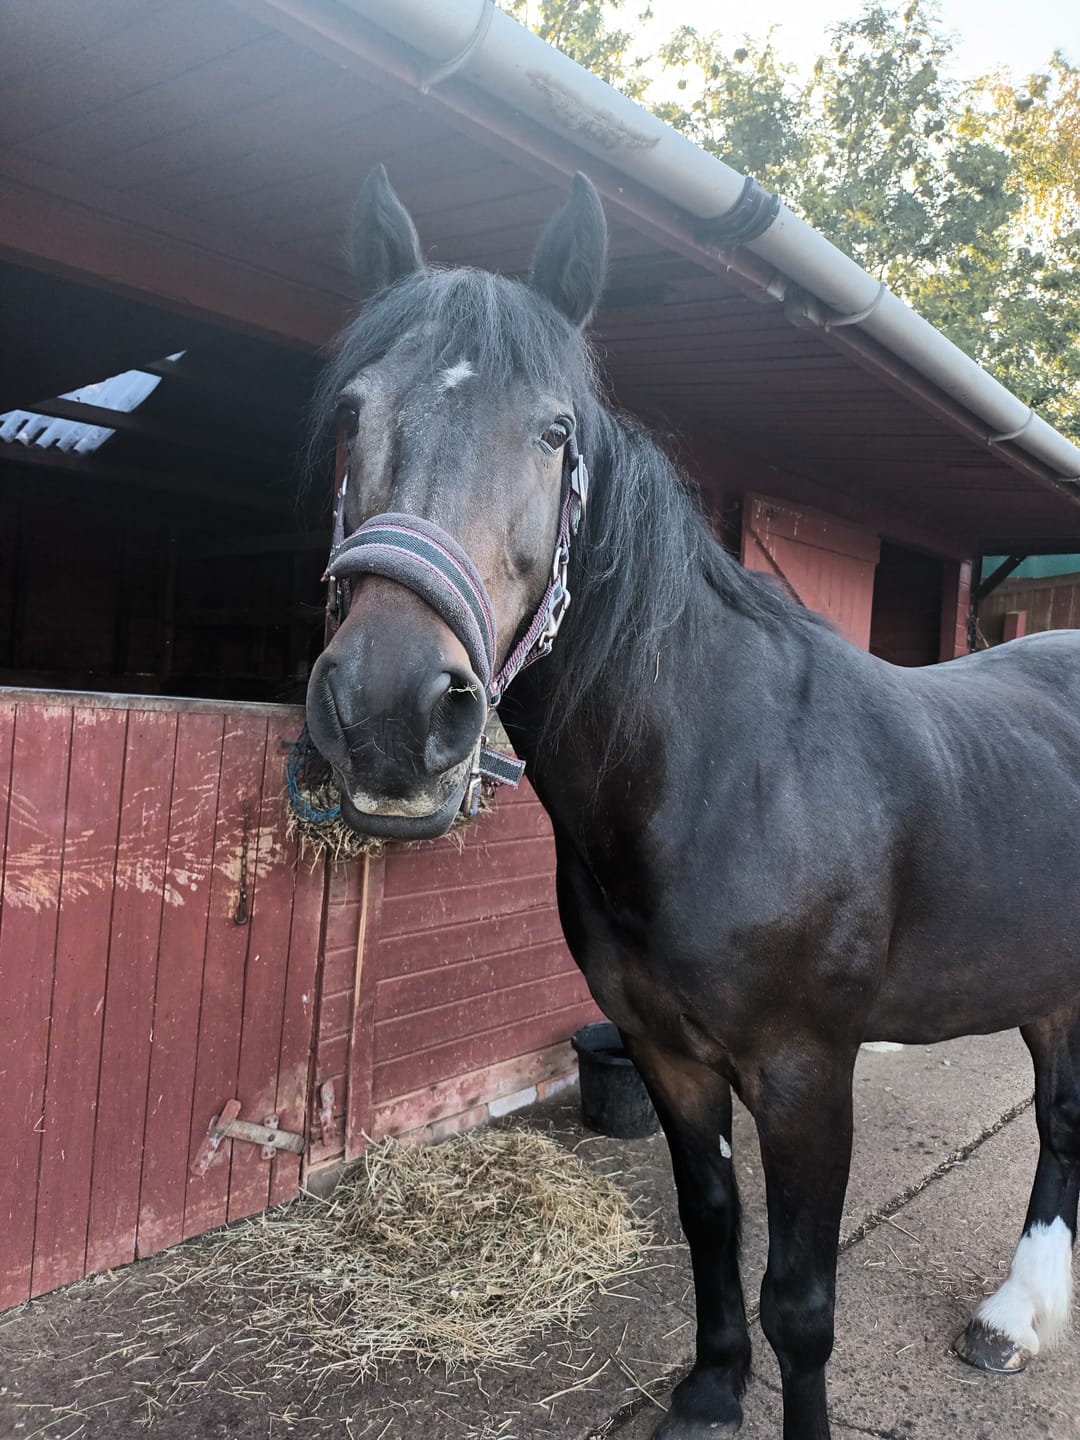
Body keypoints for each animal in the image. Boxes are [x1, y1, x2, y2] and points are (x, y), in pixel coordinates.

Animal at [304, 165, 1080, 1440]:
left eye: (556, 433)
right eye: (352, 415)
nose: (389, 710)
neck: (722, 774)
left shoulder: (808, 1072)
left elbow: (803, 1302)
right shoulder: (667, 1053)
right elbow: (709, 1218)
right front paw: (713, 1386)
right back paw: (1014, 1316)